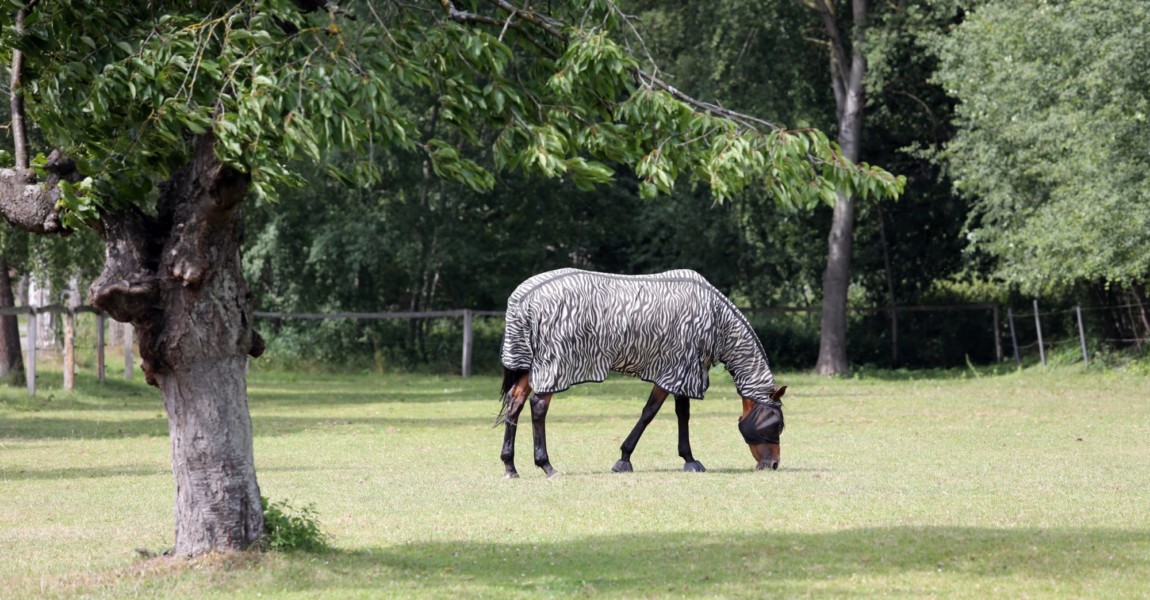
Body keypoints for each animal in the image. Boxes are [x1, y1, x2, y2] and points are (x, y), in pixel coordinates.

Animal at [494, 267, 782, 475]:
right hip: (552, 366)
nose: (773, 465)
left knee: (515, 403)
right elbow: (656, 413)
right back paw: (546, 466)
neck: (714, 316)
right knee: (538, 406)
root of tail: (523, 298)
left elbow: (669, 413)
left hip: (531, 367)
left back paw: (510, 467)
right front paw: (635, 459)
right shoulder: (679, 370)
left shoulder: (678, 372)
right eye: (777, 424)